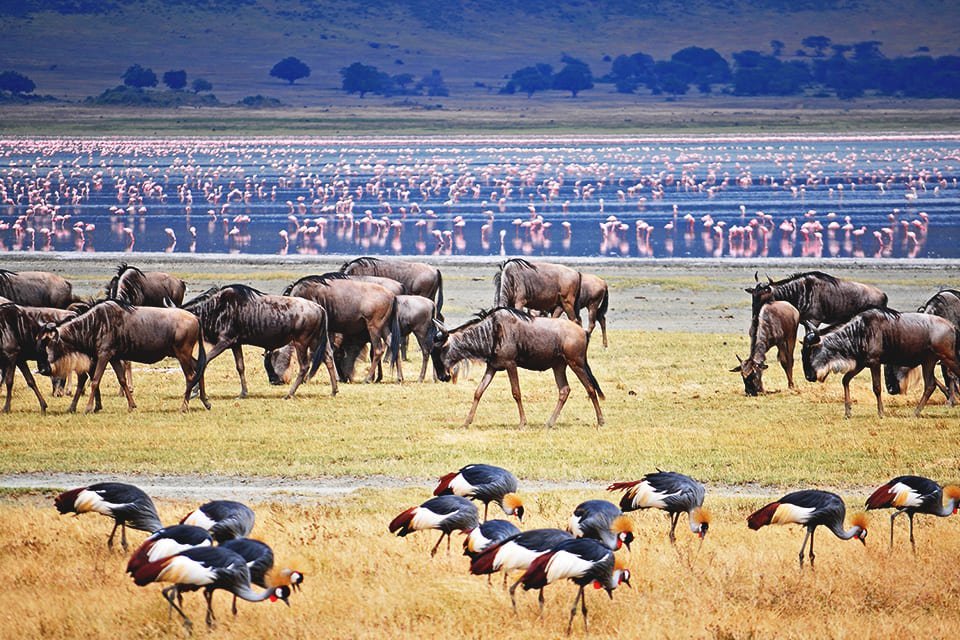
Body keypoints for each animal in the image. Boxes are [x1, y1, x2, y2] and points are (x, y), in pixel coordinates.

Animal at [37, 302, 208, 416]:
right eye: (40, 342)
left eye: (49, 342)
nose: (43, 369)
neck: (94, 323)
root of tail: (196, 317)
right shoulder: (114, 357)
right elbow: (122, 379)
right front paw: (132, 405)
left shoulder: (104, 354)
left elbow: (95, 381)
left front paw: (88, 408)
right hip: (182, 354)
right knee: (200, 368)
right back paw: (206, 401)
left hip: (182, 353)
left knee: (190, 376)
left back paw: (184, 407)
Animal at [179, 284, 338, 400]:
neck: (216, 307)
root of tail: (320, 308)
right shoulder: (235, 344)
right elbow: (240, 367)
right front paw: (243, 393)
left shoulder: (225, 341)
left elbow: (204, 362)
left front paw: (194, 391)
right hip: (316, 341)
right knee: (328, 358)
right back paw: (334, 391)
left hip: (302, 342)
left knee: (304, 366)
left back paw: (289, 394)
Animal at [432, 308, 604, 428]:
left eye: (440, 350)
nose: (442, 377)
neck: (491, 331)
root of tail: (583, 331)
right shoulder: (492, 367)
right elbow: (478, 392)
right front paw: (466, 422)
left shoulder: (510, 364)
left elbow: (516, 393)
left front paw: (522, 423)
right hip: (559, 366)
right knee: (564, 390)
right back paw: (549, 423)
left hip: (576, 363)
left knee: (590, 388)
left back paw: (601, 421)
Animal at [804, 308, 960, 420]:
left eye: (811, 351)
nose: (809, 377)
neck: (860, 331)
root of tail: (952, 326)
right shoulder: (861, 363)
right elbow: (845, 380)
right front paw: (848, 412)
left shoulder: (875, 362)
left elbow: (877, 387)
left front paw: (881, 413)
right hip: (928, 361)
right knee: (930, 385)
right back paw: (915, 413)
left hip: (948, 358)